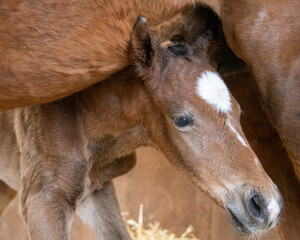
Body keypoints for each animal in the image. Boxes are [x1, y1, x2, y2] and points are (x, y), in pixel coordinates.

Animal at [0, 17, 282, 240]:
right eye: (181, 120)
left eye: (239, 111)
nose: (268, 206)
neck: (79, 116)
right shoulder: (43, 200)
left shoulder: (97, 190)